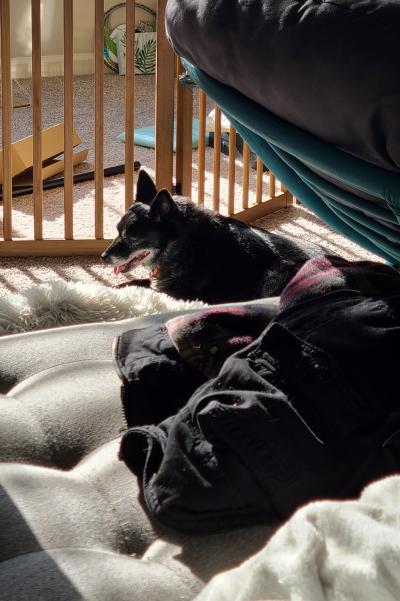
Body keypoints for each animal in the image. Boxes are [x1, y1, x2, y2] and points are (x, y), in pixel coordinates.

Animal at [102, 170, 332, 302]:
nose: (103, 257)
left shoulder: (177, 294)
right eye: (117, 231)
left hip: (275, 274)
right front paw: (111, 289)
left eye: (131, 238)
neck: (183, 245)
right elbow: (130, 283)